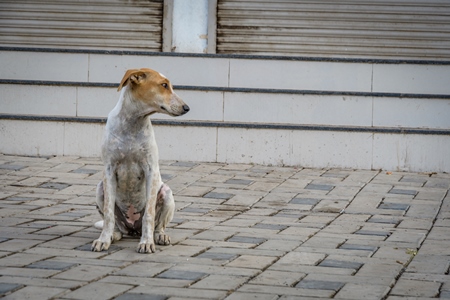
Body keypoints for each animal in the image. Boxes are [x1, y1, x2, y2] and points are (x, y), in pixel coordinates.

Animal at [91, 68, 190, 253]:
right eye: (164, 85)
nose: (187, 108)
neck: (133, 123)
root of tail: (133, 230)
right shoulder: (109, 170)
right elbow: (108, 214)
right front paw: (103, 240)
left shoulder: (150, 170)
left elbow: (149, 215)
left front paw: (146, 242)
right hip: (100, 189)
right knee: (117, 226)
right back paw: (113, 235)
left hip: (167, 194)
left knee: (159, 225)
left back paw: (160, 236)